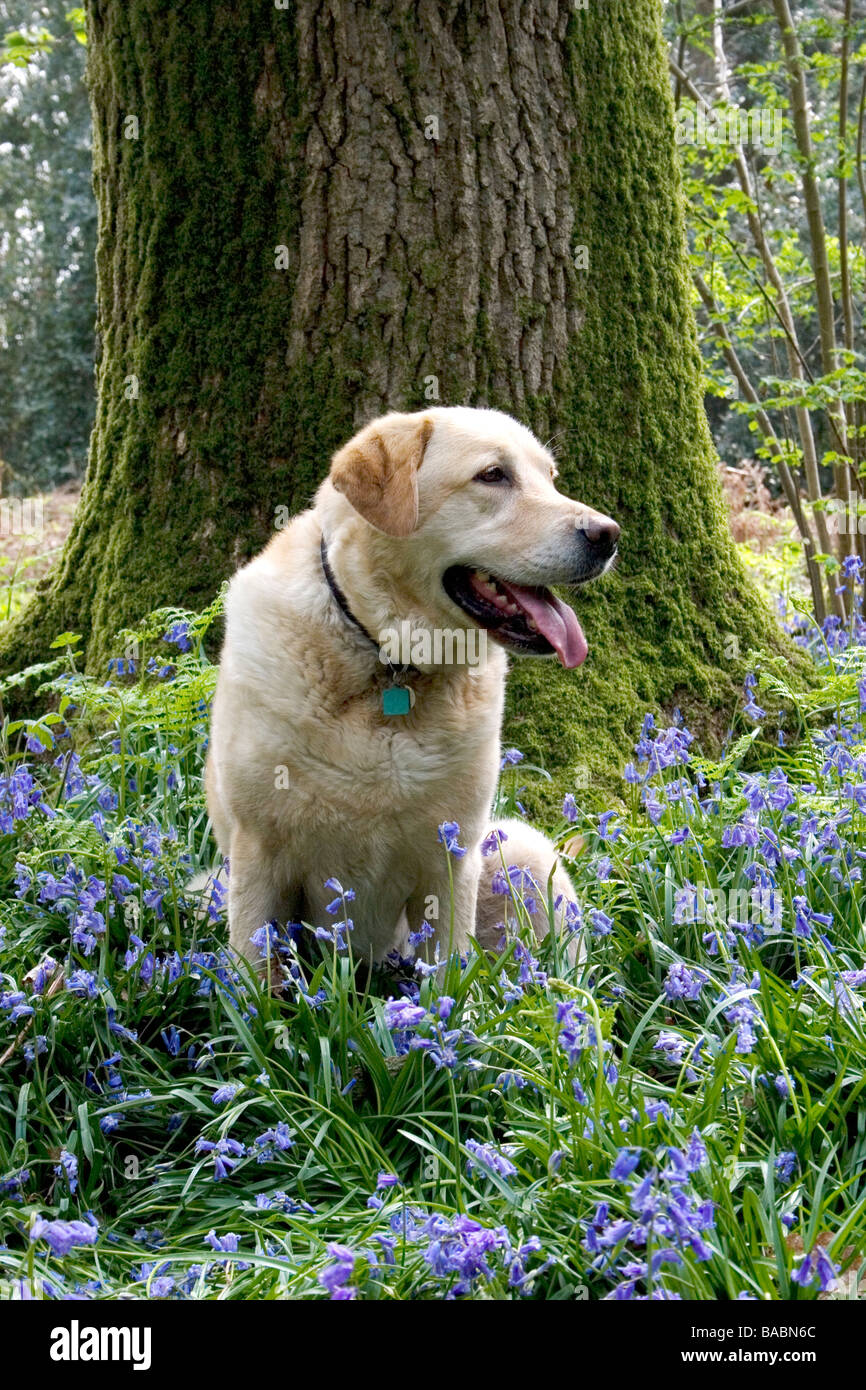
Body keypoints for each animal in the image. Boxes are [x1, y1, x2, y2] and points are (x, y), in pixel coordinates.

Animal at [207, 405, 619, 978]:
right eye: (493, 475)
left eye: (551, 478)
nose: (609, 534)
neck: (389, 665)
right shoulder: (258, 852)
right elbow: (255, 981)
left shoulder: (450, 859)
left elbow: (448, 975)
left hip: (525, 852)